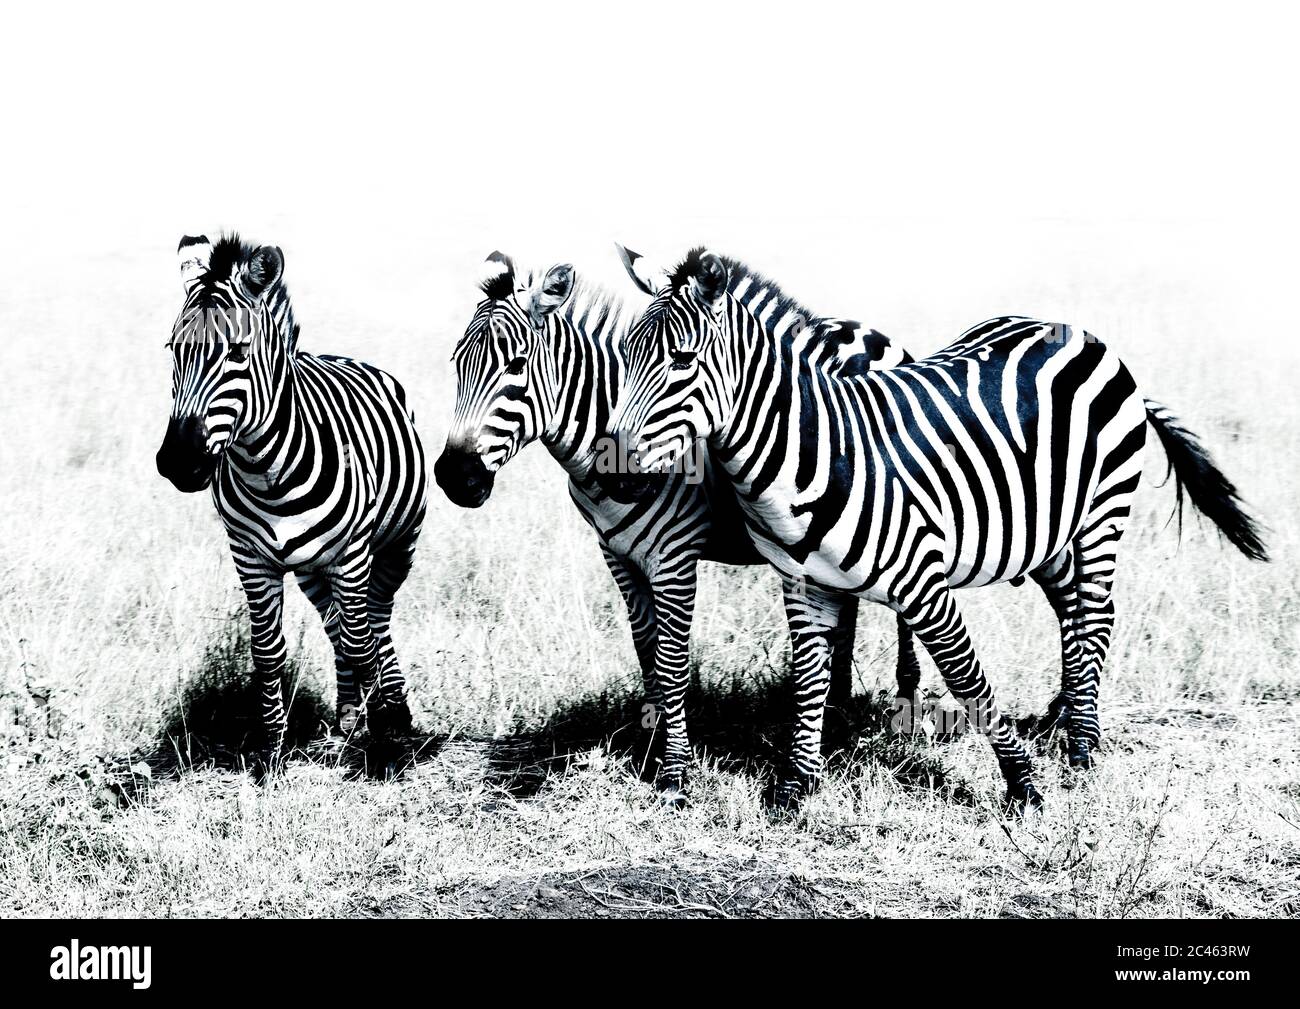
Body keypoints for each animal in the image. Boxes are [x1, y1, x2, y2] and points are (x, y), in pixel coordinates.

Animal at [156, 234, 428, 772]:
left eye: (238, 353)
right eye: (174, 349)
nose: (179, 462)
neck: (267, 472)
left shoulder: (351, 557)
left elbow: (363, 642)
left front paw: (383, 742)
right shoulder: (251, 560)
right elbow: (268, 652)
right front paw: (272, 750)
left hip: (394, 547)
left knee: (375, 622)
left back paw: (392, 711)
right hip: (310, 570)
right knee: (337, 626)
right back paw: (348, 719)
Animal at [433, 253, 920, 805]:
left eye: (515, 366)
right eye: (455, 363)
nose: (454, 478)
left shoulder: (674, 558)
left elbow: (671, 663)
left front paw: (676, 773)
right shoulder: (618, 555)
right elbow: (645, 650)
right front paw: (649, 744)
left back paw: (906, 705)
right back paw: (835, 707)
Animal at [607, 247, 1267, 810]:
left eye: (683, 361)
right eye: (625, 355)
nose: (615, 476)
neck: (813, 449)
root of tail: (1073, 328)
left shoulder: (922, 583)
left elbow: (969, 679)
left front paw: (1024, 787)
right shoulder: (803, 583)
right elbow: (809, 681)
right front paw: (797, 787)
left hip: (1101, 515)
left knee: (1096, 618)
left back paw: (1082, 751)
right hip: (1047, 531)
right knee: (1075, 615)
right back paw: (1067, 721)